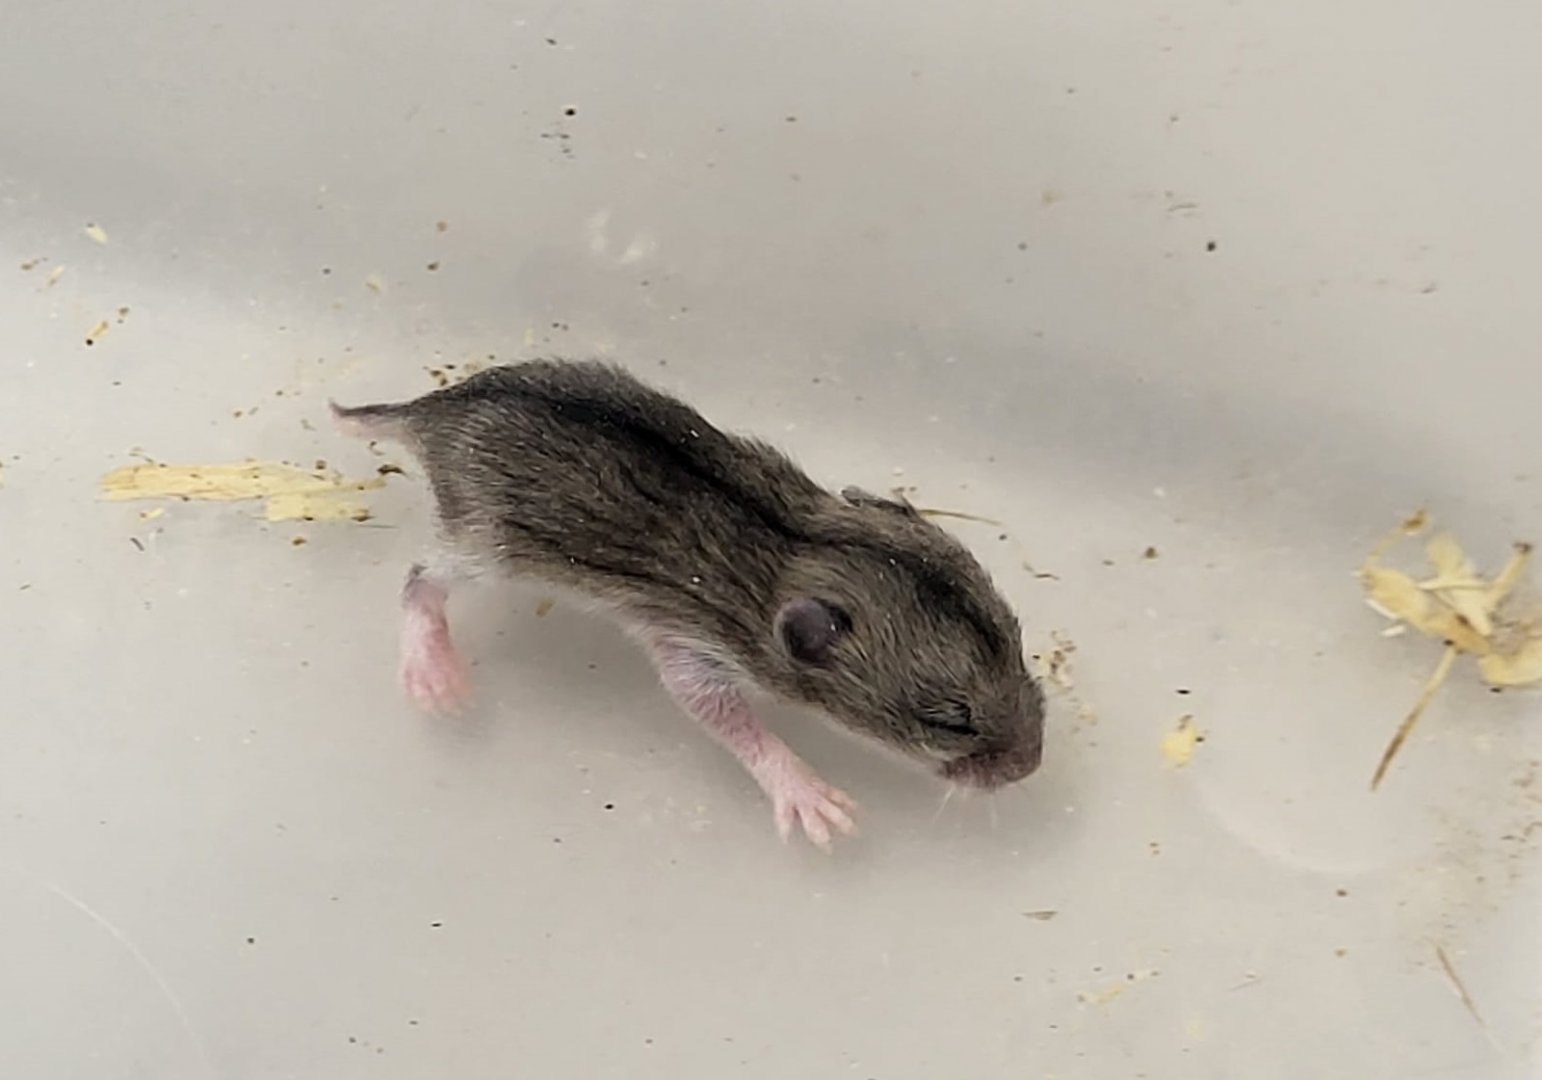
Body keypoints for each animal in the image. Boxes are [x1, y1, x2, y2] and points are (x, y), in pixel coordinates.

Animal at [332, 359, 1044, 848]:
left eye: (1018, 642)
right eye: (949, 721)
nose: (1033, 766)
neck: (797, 548)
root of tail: (429, 410)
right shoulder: (693, 653)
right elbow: (732, 724)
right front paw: (824, 813)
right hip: (485, 547)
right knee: (418, 580)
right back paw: (438, 683)